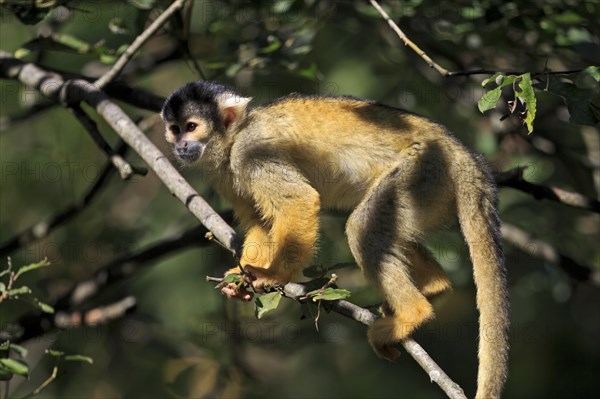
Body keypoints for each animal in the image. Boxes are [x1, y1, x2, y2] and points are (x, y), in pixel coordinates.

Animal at [162, 82, 508, 399]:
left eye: (192, 127)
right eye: (175, 129)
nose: (181, 145)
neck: (233, 138)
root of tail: (464, 154)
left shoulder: (251, 152)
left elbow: (297, 201)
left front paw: (273, 275)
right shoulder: (224, 172)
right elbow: (259, 222)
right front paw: (241, 279)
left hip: (425, 169)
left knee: (362, 226)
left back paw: (413, 312)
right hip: (434, 189)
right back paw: (434, 285)